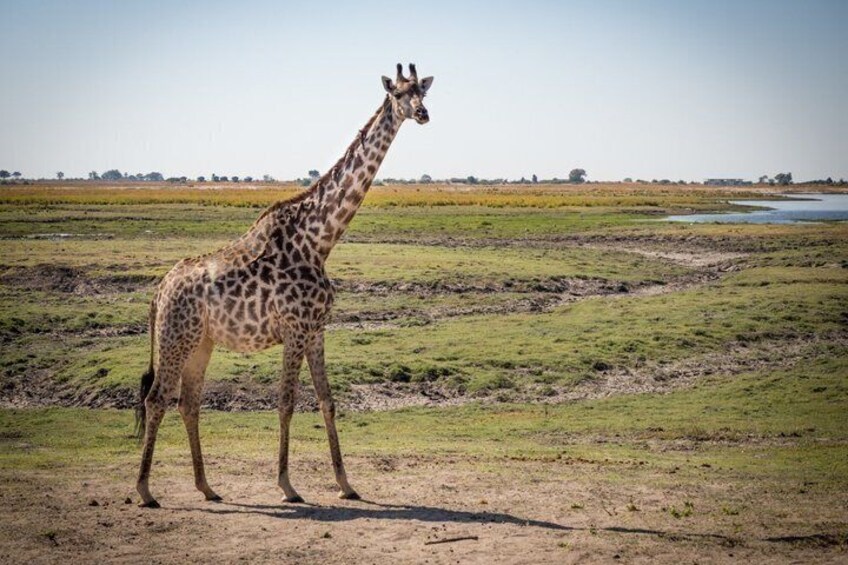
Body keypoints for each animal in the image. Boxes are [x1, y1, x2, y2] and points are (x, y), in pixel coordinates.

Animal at [135, 64, 433, 508]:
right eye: (398, 94)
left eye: (422, 92)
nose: (422, 113)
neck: (319, 240)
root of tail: (158, 293)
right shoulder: (294, 330)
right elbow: (287, 403)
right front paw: (287, 486)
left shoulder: (316, 330)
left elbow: (327, 401)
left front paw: (346, 484)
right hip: (175, 338)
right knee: (156, 399)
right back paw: (145, 490)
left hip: (201, 343)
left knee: (189, 403)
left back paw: (207, 487)